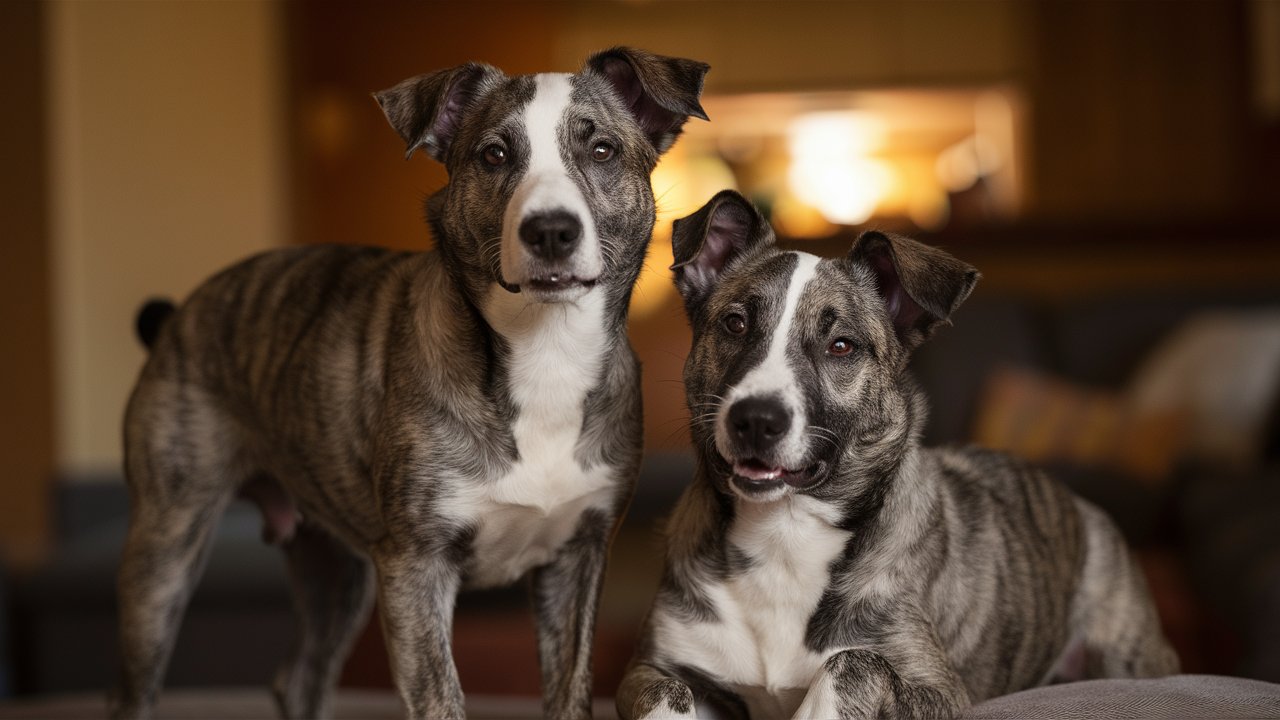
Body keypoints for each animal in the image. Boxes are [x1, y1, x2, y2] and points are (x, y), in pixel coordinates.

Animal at [112, 47, 711, 712]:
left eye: (602, 150)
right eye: (494, 154)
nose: (551, 230)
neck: (543, 354)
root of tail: (179, 316)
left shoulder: (577, 560)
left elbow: (570, 692)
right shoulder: (414, 568)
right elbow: (441, 697)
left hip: (336, 572)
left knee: (299, 677)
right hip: (166, 548)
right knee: (135, 688)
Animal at [614, 192, 1172, 717]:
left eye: (842, 346)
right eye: (734, 323)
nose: (755, 419)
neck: (784, 535)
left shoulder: (941, 690)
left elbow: (854, 662)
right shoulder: (649, 670)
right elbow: (666, 693)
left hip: (1127, 656)